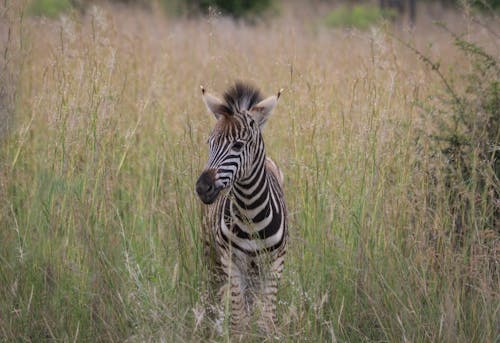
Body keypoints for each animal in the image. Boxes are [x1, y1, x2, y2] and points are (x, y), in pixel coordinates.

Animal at [195, 80, 290, 334]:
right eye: (210, 144)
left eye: (238, 146)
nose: (202, 187)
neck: (251, 214)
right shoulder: (230, 260)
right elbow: (239, 320)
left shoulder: (276, 261)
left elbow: (267, 318)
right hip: (213, 254)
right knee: (217, 291)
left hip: (256, 268)